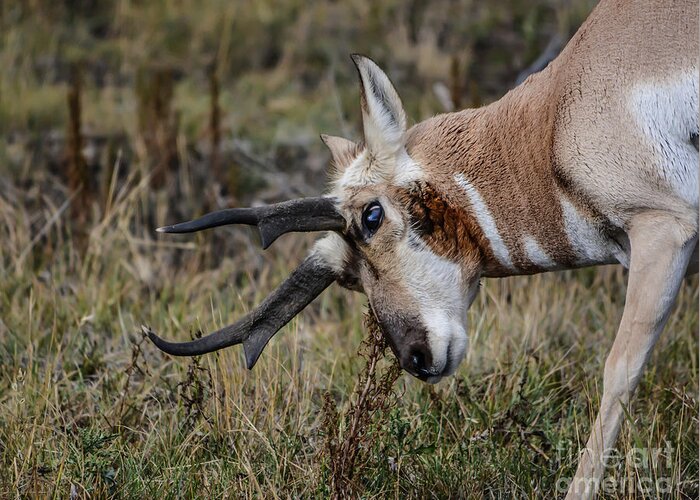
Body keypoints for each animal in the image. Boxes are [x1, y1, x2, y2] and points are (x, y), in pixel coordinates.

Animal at [150, 0, 696, 496]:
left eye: (371, 217)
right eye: (349, 277)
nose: (416, 358)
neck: (552, 122)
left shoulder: (663, 230)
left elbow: (619, 371)